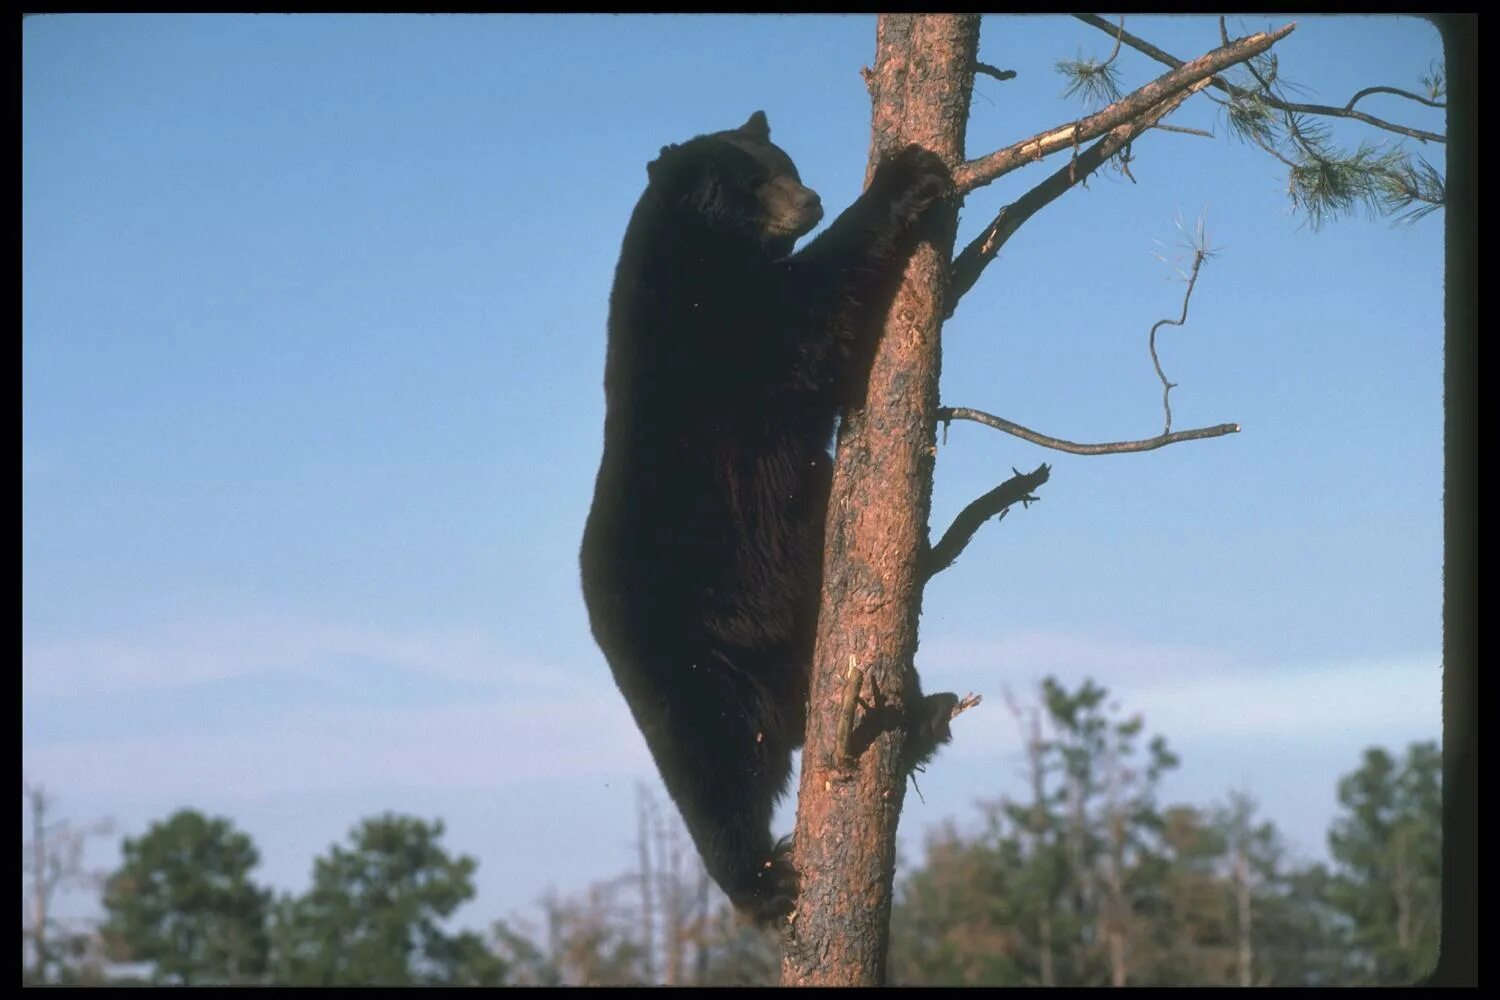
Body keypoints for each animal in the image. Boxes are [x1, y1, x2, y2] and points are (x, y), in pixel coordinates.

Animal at [579, 113, 954, 929]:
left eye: (786, 162)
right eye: (753, 184)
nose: (811, 199)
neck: (696, 259)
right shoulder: (709, 341)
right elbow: (802, 327)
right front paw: (904, 178)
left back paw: (920, 716)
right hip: (679, 654)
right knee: (712, 769)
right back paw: (760, 880)